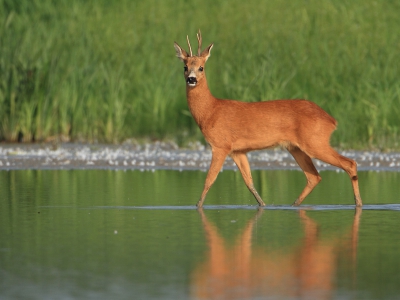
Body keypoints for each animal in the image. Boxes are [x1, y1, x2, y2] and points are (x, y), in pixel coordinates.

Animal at [173, 31, 362, 209]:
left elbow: (209, 180)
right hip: (296, 147)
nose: (191, 79)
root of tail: (331, 120)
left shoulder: (220, 145)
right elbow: (249, 182)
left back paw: (358, 203)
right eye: (185, 66)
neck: (210, 111)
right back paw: (293, 205)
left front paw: (197, 206)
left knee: (349, 163)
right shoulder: (238, 151)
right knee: (314, 177)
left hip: (315, 142)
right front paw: (263, 205)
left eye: (201, 68)